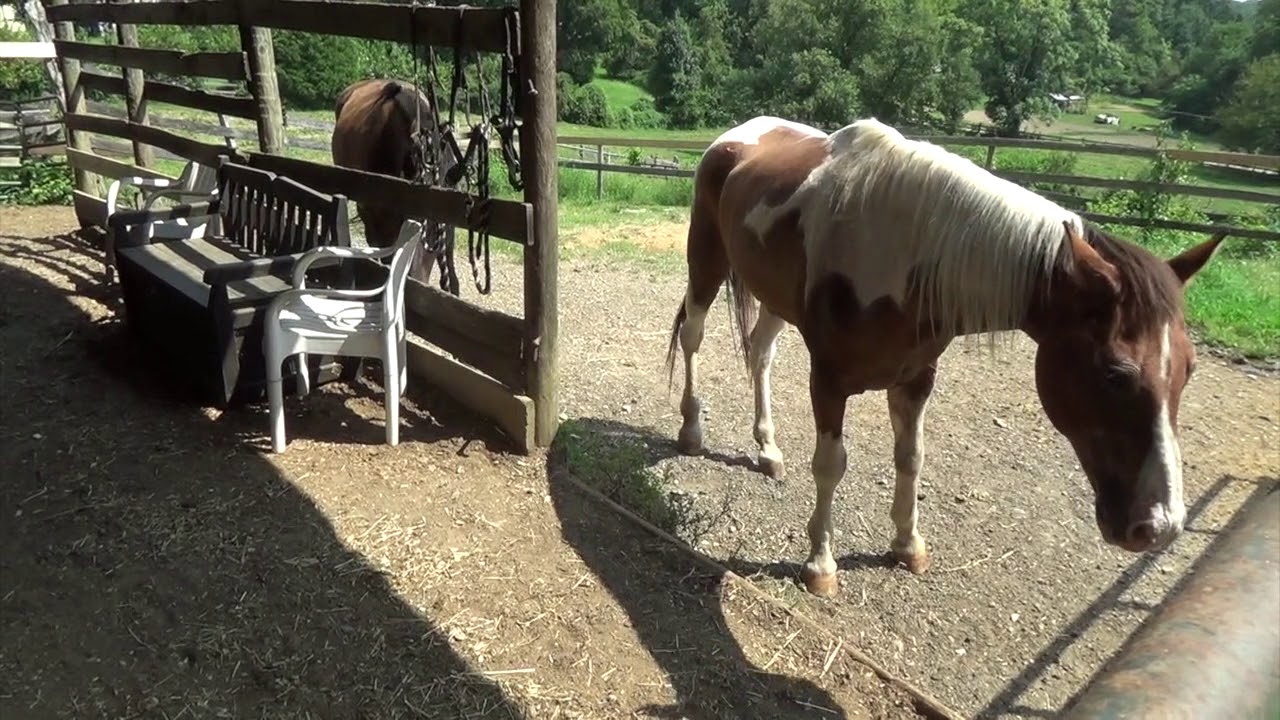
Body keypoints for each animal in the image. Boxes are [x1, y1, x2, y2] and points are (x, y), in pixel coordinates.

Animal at [665, 115, 1223, 597]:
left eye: (1190, 370)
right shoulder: (828, 377)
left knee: (760, 353)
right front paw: (821, 565)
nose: (1160, 526)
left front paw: (907, 545)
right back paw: (691, 430)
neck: (908, 253)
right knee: (693, 336)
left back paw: (768, 450)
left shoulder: (915, 377)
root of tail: (737, 136)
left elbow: (911, 457)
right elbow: (830, 464)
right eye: (1113, 373)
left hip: (775, 298)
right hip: (706, 260)